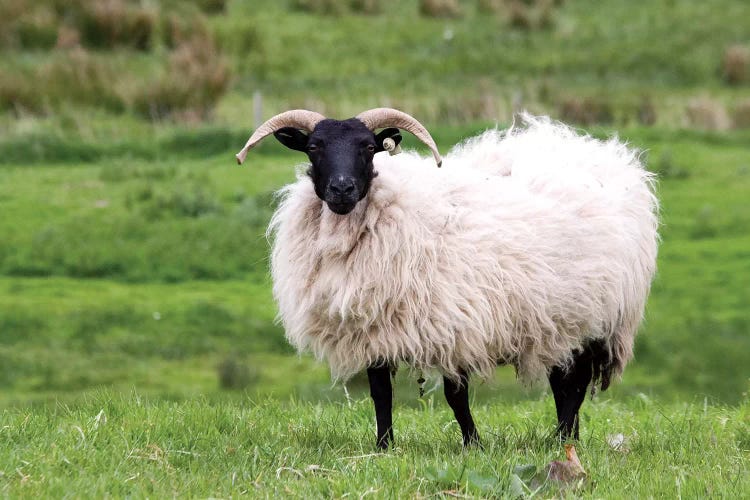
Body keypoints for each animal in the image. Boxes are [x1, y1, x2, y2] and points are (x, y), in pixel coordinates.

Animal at [235, 108, 656, 450]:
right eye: (313, 147)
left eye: (369, 148)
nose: (341, 189)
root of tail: (593, 149)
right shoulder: (376, 328)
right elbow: (380, 394)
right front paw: (384, 446)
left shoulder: (453, 323)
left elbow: (456, 397)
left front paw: (473, 445)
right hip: (556, 319)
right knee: (562, 382)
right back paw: (566, 439)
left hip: (593, 316)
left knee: (576, 385)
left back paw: (564, 439)